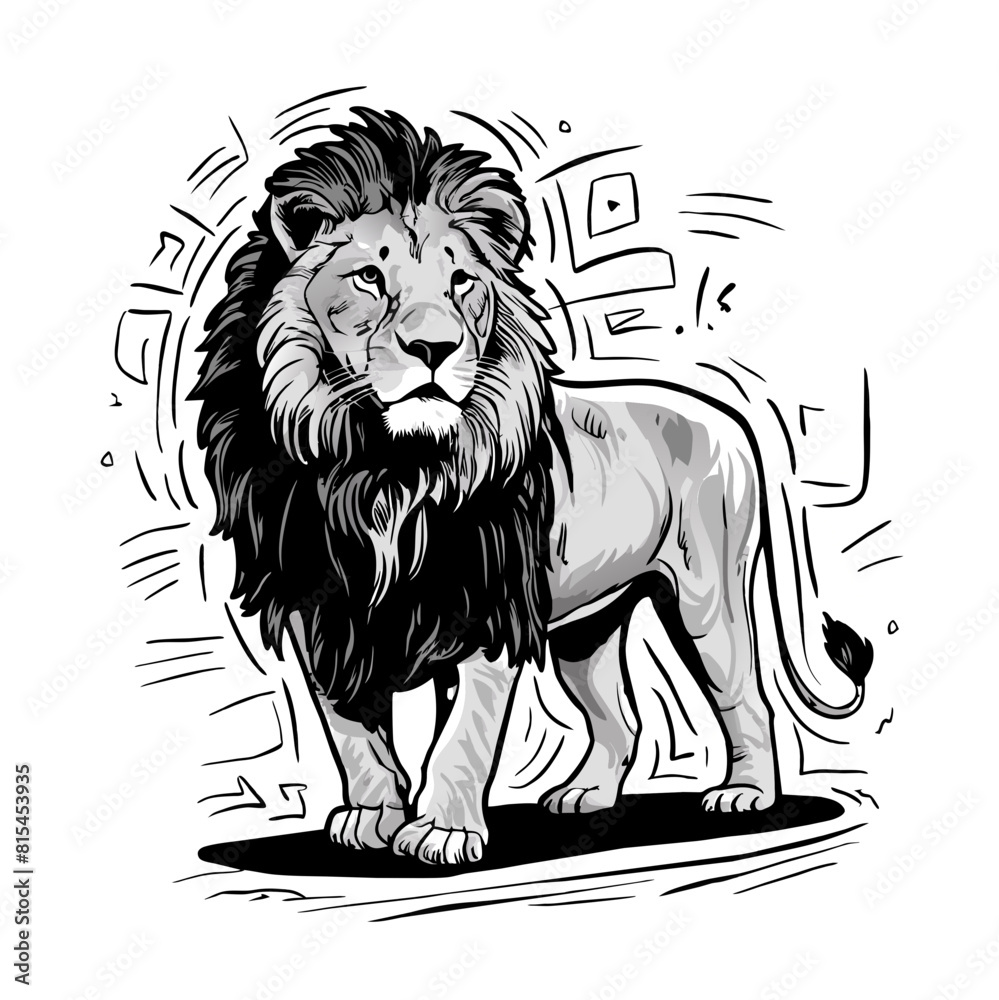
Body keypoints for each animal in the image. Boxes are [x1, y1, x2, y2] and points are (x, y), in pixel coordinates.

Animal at [192, 107, 873, 866]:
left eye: (461, 282)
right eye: (368, 276)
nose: (434, 349)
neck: (380, 464)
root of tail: (728, 414)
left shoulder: (483, 614)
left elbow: (461, 736)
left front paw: (443, 832)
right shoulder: (324, 613)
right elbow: (353, 733)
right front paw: (372, 820)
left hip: (707, 595)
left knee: (746, 697)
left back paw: (745, 795)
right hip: (586, 625)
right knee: (621, 717)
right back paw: (585, 798)